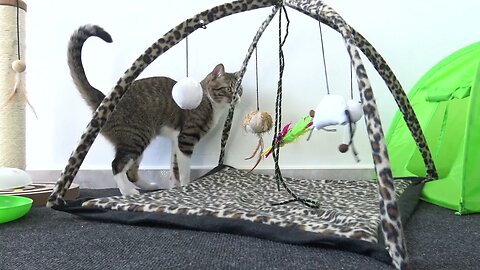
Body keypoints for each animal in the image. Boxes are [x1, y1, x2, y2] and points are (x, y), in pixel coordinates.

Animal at [67, 24, 240, 194]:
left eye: (240, 89)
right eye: (229, 89)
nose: (237, 97)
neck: (210, 102)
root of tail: (105, 100)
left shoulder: (176, 142)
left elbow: (174, 169)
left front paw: (173, 187)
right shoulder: (186, 138)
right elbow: (184, 171)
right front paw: (186, 186)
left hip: (137, 141)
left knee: (131, 172)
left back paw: (150, 187)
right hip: (136, 137)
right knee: (117, 165)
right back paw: (128, 192)